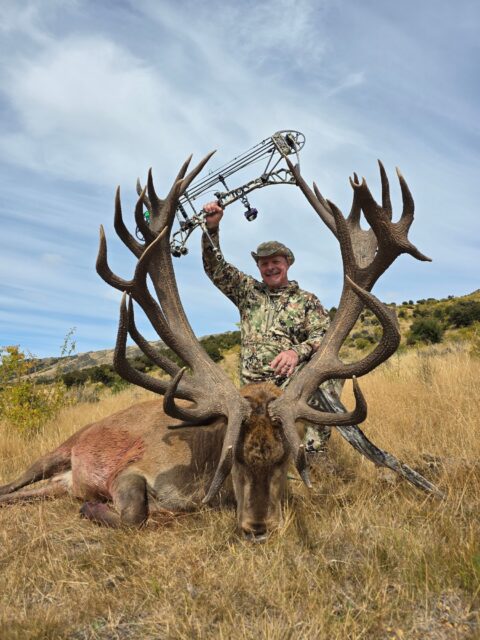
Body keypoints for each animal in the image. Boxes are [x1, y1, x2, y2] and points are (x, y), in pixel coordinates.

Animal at [0, 152, 441, 539]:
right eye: (235, 461)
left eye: (285, 460)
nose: (257, 528)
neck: (200, 471)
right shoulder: (132, 471)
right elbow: (136, 514)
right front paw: (97, 507)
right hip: (59, 449)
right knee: (13, 484)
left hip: (56, 481)